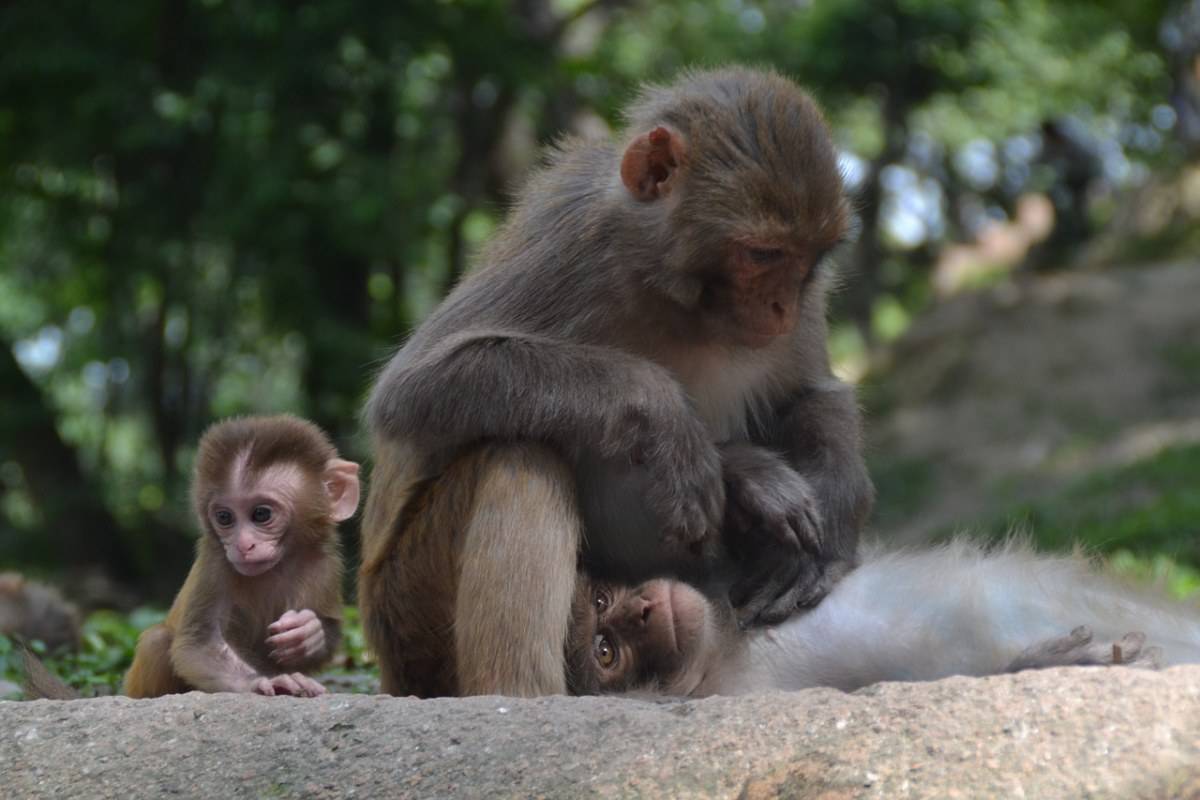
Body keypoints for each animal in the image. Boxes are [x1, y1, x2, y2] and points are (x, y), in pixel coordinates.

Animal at [124, 417, 362, 695]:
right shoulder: (215, 562)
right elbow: (199, 643)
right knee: (157, 640)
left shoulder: (324, 564)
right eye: (224, 517)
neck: (277, 565)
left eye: (261, 514)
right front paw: (263, 681)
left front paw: (309, 633)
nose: (243, 545)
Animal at [355, 67, 873, 695]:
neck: (681, 304)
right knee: (518, 457)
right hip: (409, 610)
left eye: (809, 259)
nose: (782, 309)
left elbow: (806, 395)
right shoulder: (571, 240)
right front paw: (682, 430)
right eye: (762, 253)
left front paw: (826, 529)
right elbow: (413, 390)